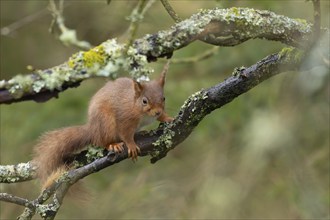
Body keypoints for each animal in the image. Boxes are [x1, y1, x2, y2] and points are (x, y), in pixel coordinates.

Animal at [32, 62, 173, 187]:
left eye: (164, 98)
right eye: (144, 101)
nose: (157, 111)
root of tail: (92, 130)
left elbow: (162, 117)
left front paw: (168, 118)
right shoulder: (125, 119)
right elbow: (126, 134)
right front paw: (131, 145)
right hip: (106, 123)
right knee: (101, 141)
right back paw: (113, 145)